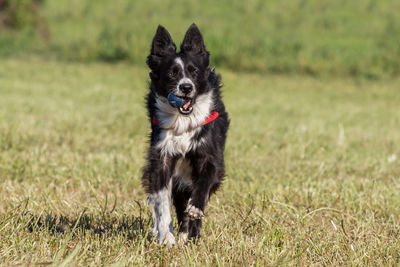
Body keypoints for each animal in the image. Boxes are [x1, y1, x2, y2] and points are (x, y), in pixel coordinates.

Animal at [142, 24, 230, 246]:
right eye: (172, 73)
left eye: (194, 71)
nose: (186, 87)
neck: (183, 121)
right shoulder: (162, 157)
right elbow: (161, 202)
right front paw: (166, 237)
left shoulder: (210, 156)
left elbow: (204, 183)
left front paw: (196, 209)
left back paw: (191, 233)